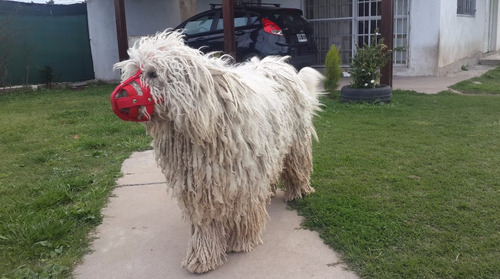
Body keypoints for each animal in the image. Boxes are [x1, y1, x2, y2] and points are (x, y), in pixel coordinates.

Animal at [110, 30, 324, 274]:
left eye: (152, 73)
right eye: (133, 70)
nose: (119, 96)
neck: (207, 120)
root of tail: (278, 63)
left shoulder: (243, 177)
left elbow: (243, 210)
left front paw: (241, 241)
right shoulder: (198, 182)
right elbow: (205, 222)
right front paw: (203, 257)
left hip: (296, 141)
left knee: (296, 164)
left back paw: (298, 191)